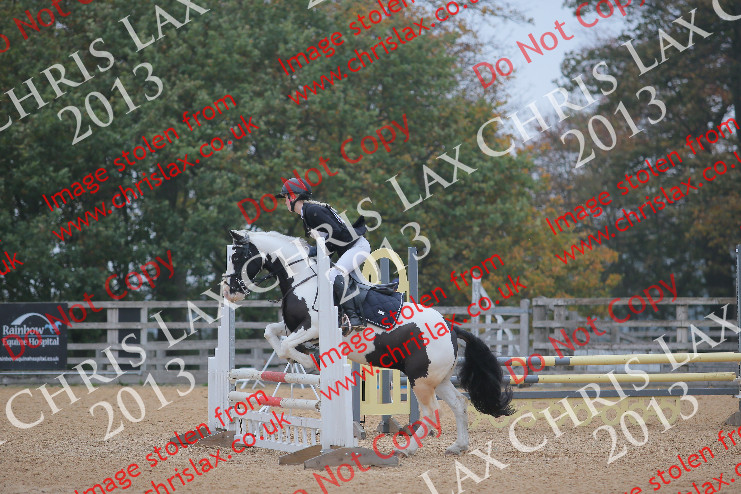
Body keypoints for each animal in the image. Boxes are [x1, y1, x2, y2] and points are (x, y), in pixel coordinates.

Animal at [223, 229, 514, 456]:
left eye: (237, 257)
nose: (228, 292)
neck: (302, 278)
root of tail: (451, 328)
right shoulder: (296, 327)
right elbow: (271, 335)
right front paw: (304, 355)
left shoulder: (313, 326)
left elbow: (285, 346)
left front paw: (310, 360)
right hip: (438, 379)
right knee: (459, 404)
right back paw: (458, 446)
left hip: (420, 380)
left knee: (431, 414)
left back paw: (407, 449)